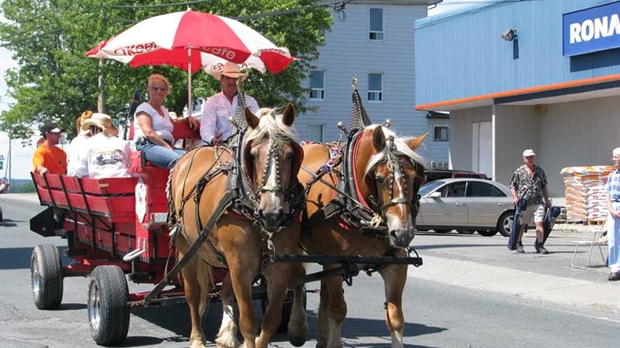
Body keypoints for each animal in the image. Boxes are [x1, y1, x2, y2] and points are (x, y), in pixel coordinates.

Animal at [167, 105, 308, 348]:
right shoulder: (240, 267)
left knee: (224, 291)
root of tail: (188, 155)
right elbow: (249, 323)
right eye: (252, 155)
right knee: (193, 294)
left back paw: (226, 333)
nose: (272, 213)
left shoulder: (280, 267)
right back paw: (197, 338)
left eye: (290, 155)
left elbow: (270, 321)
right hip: (187, 247)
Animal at [296, 125, 426, 348]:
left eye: (413, 178)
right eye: (379, 178)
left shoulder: (396, 264)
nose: (403, 233)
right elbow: (338, 311)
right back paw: (297, 328)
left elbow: (395, 318)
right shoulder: (336, 262)